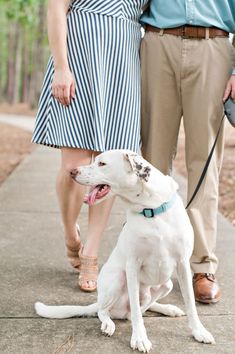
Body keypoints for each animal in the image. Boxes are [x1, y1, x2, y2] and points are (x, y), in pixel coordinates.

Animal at [35, 149, 215, 352]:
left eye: (102, 163)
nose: (73, 172)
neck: (150, 209)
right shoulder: (132, 266)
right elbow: (136, 311)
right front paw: (139, 338)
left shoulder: (183, 263)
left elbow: (191, 303)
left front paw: (199, 331)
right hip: (118, 278)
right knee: (106, 311)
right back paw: (108, 324)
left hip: (166, 284)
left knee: (139, 309)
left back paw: (168, 308)